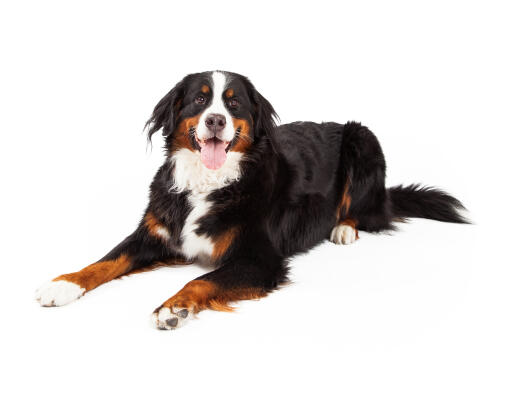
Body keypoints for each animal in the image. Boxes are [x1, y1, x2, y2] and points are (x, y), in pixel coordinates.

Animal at [36, 70, 468, 328]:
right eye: (199, 100)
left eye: (234, 102)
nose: (215, 120)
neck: (208, 183)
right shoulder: (155, 233)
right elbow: (105, 261)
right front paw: (63, 284)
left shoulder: (260, 258)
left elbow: (203, 279)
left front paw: (175, 306)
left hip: (363, 138)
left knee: (369, 212)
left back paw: (344, 228)